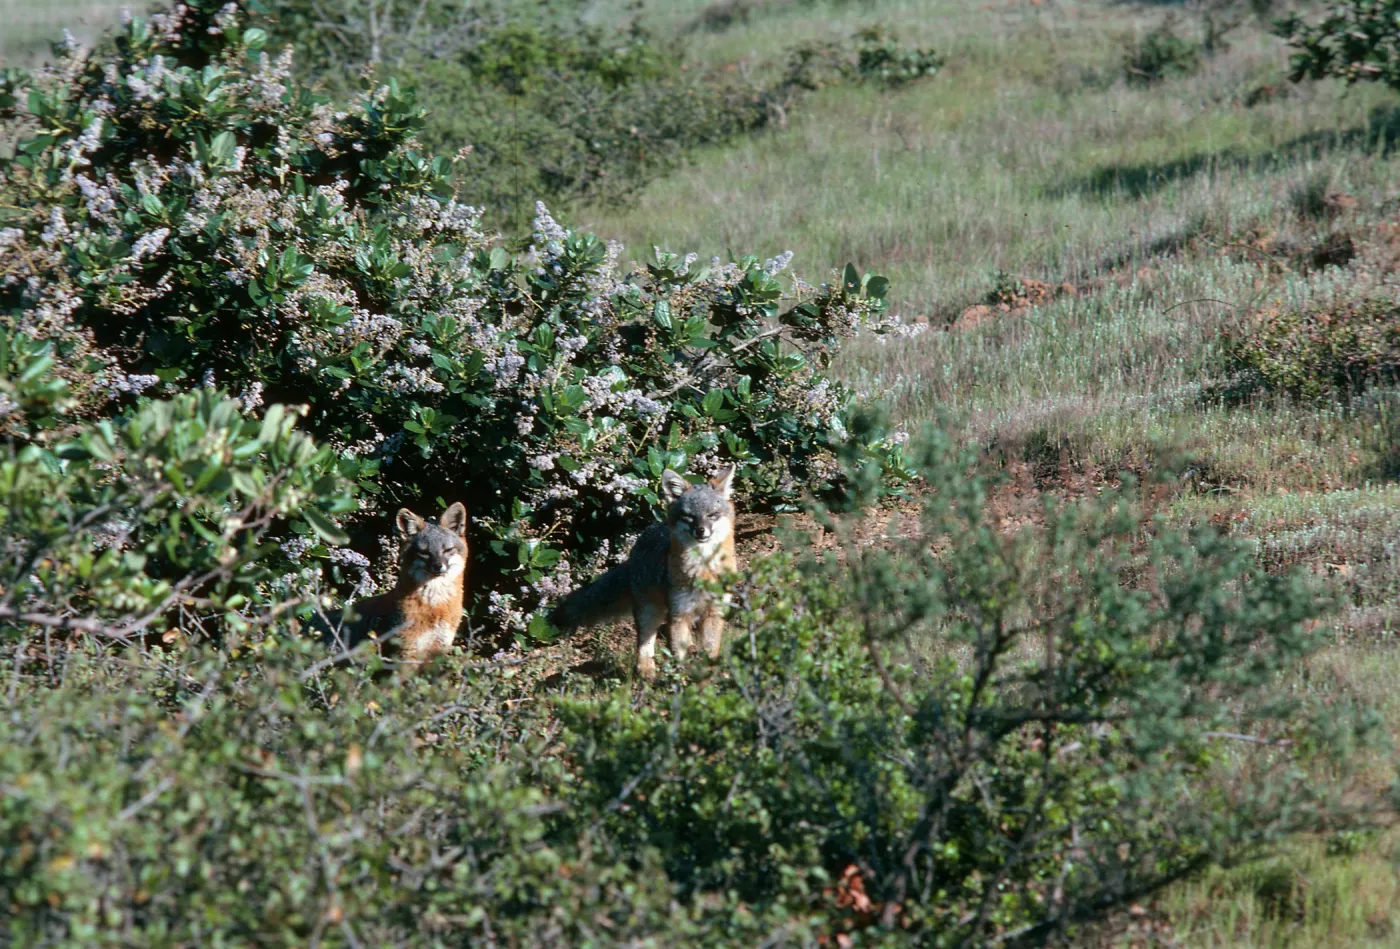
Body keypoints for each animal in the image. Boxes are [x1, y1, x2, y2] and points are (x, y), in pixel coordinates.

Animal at [319, 502, 469, 670]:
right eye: (424, 552)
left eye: (448, 550)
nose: (438, 566)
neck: (435, 607)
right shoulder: (407, 652)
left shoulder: (437, 650)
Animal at [551, 466, 738, 680]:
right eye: (689, 516)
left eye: (713, 514)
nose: (700, 531)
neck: (703, 570)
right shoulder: (679, 612)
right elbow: (678, 654)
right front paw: (681, 680)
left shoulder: (714, 611)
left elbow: (710, 650)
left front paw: (709, 676)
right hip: (650, 611)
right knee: (644, 642)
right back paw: (646, 670)